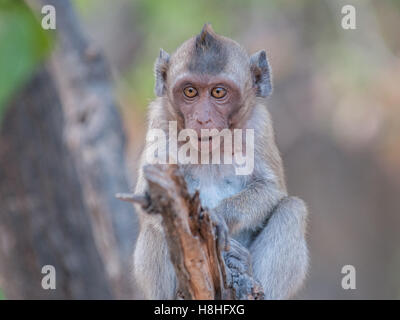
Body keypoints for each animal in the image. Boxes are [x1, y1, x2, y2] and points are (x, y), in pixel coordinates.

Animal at [134, 23, 310, 298]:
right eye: (190, 91)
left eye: (218, 92)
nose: (203, 119)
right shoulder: (160, 122)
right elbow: (145, 196)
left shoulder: (259, 125)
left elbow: (272, 189)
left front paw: (218, 216)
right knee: (155, 226)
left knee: (293, 209)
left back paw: (245, 267)